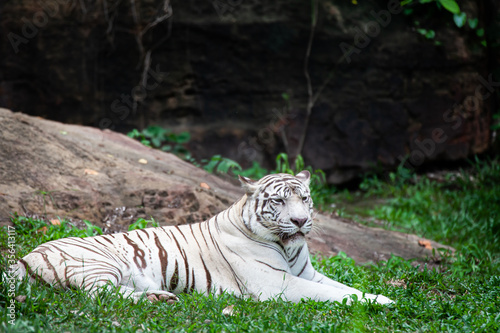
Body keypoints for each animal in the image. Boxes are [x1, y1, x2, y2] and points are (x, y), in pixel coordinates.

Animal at [12, 171, 394, 304]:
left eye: (304, 198)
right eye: (279, 201)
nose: (300, 221)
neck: (287, 247)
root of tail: (24, 257)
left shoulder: (308, 273)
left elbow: (343, 287)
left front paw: (380, 296)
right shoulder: (276, 284)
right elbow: (332, 294)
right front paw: (384, 302)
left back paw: (160, 296)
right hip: (97, 264)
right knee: (99, 293)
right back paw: (158, 299)